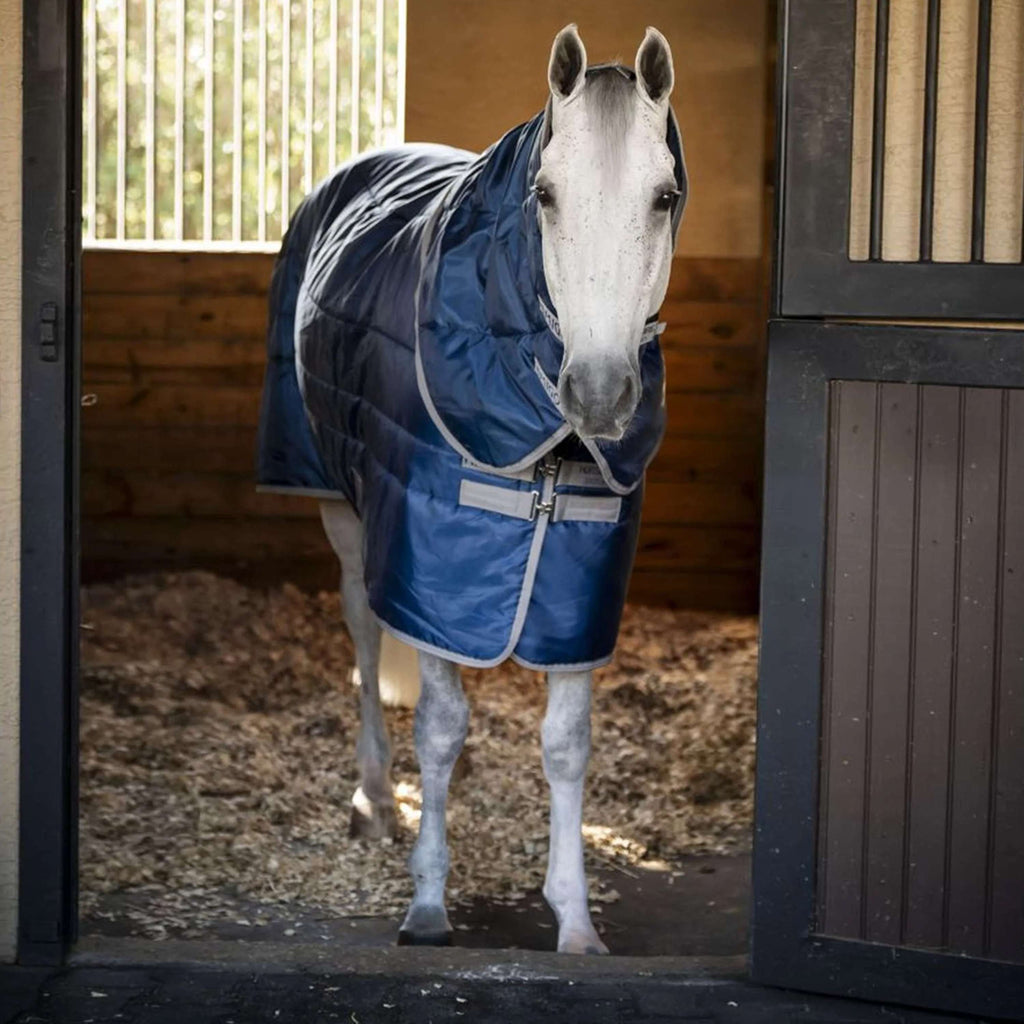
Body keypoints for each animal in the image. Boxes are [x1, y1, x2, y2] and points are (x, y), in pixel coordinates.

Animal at [256, 24, 686, 955]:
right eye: (546, 195)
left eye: (665, 196)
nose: (599, 393)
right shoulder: (426, 554)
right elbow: (441, 723)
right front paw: (427, 903)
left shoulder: (578, 588)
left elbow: (567, 742)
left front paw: (575, 919)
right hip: (344, 507)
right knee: (366, 634)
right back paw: (378, 799)